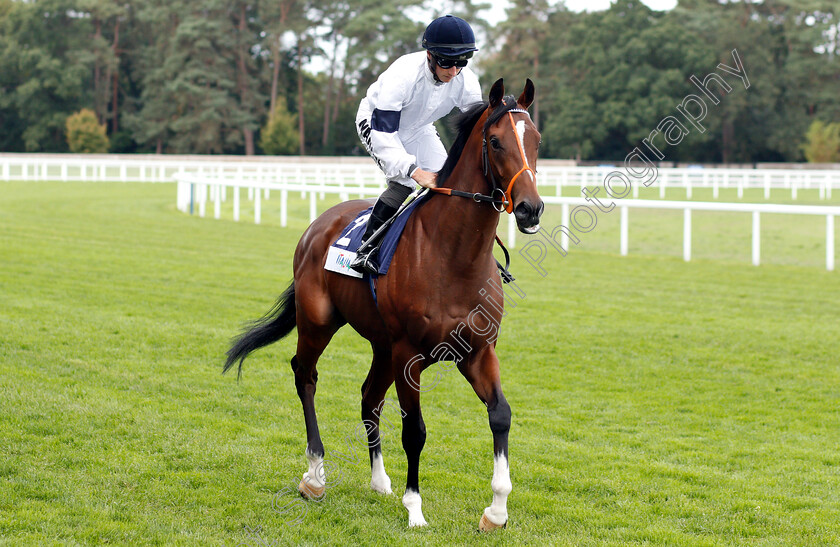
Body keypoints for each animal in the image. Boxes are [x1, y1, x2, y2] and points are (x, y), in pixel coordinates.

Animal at [223, 78, 540, 532]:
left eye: (536, 140)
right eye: (496, 142)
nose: (532, 208)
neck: (453, 256)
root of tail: (318, 225)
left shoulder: (478, 351)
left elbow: (500, 414)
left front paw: (496, 511)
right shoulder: (411, 352)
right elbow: (415, 431)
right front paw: (415, 508)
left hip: (382, 346)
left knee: (369, 397)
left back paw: (378, 480)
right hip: (319, 322)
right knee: (305, 376)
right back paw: (315, 475)